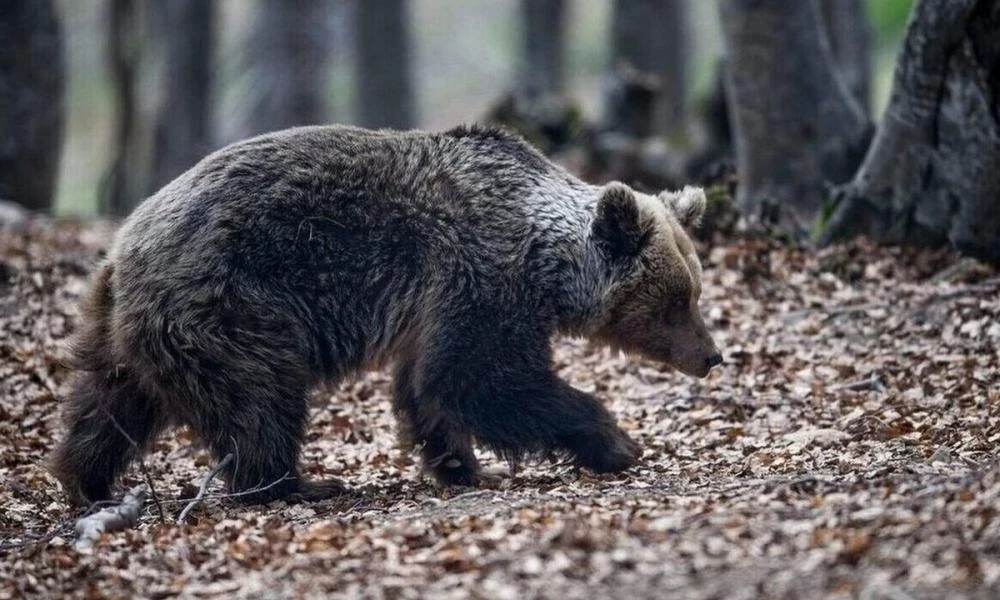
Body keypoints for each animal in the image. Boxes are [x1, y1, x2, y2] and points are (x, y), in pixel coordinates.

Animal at [50, 124, 720, 504]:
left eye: (694, 290)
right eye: (676, 300)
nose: (712, 356)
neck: (544, 263)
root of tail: (122, 250)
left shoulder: (436, 304)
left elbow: (430, 388)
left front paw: (465, 467)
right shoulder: (480, 276)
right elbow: (481, 378)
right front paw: (615, 442)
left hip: (128, 330)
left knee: (109, 400)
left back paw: (86, 481)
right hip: (229, 301)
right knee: (260, 395)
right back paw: (293, 485)